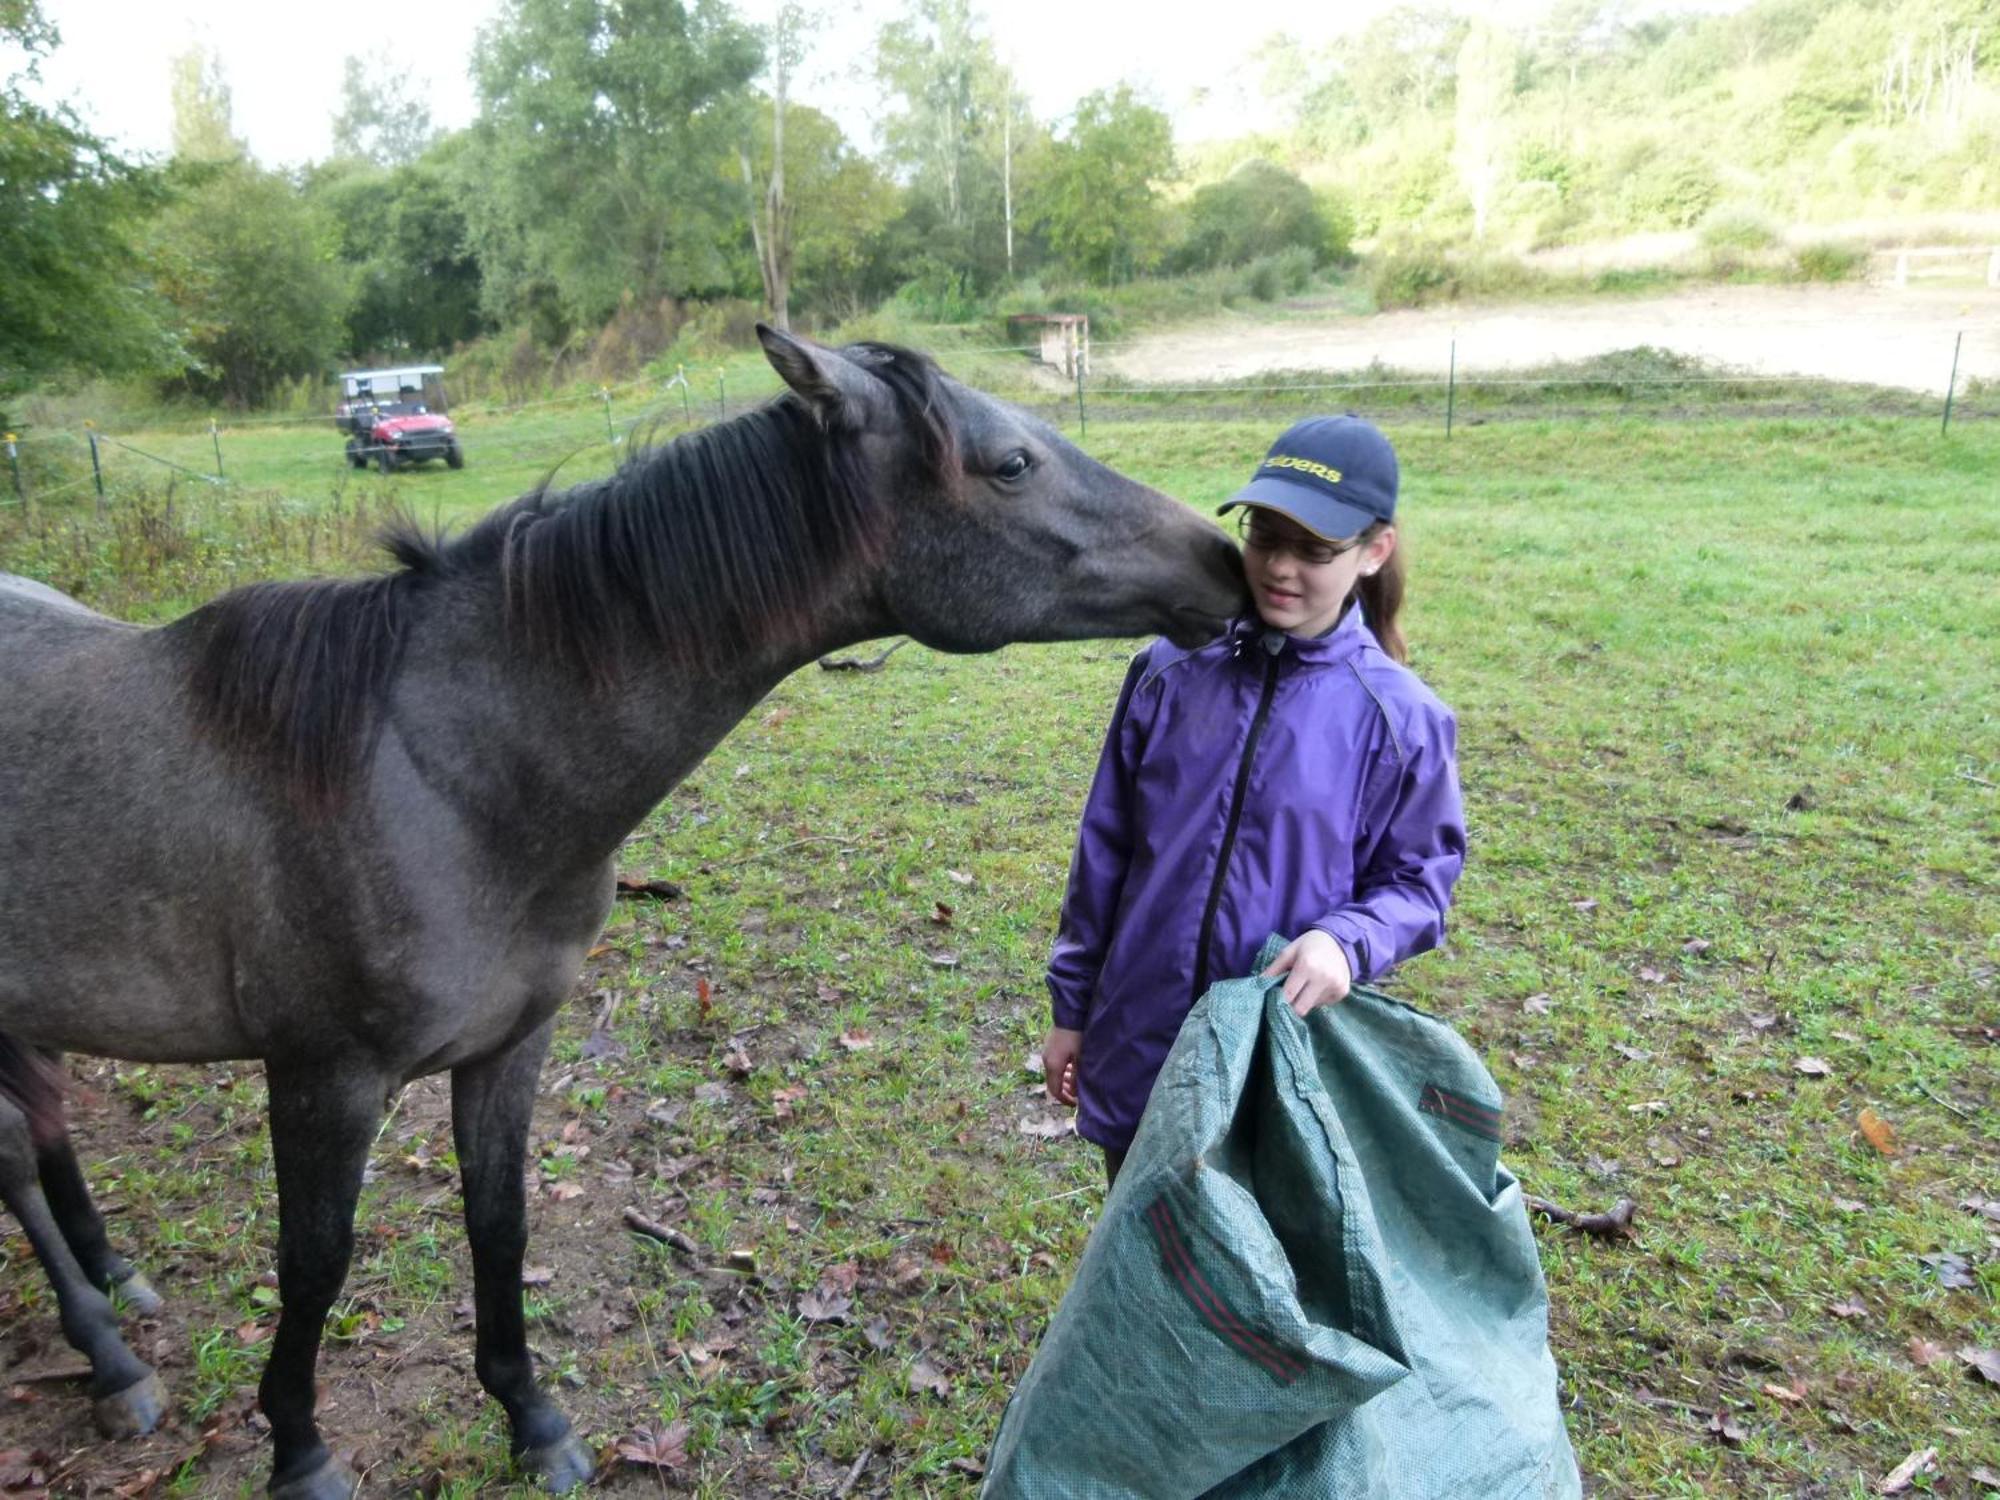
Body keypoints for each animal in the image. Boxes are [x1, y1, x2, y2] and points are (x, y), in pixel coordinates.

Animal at [0, 332, 1248, 1500]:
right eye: (1010, 462)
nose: (1223, 558)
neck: (434, 772)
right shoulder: (323, 1076)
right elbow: (314, 1260)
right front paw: (299, 1448)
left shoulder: (510, 1046)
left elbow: (498, 1223)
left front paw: (531, 1419)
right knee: (18, 1161)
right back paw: (107, 1357)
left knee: (41, 1140)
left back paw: (114, 1290)